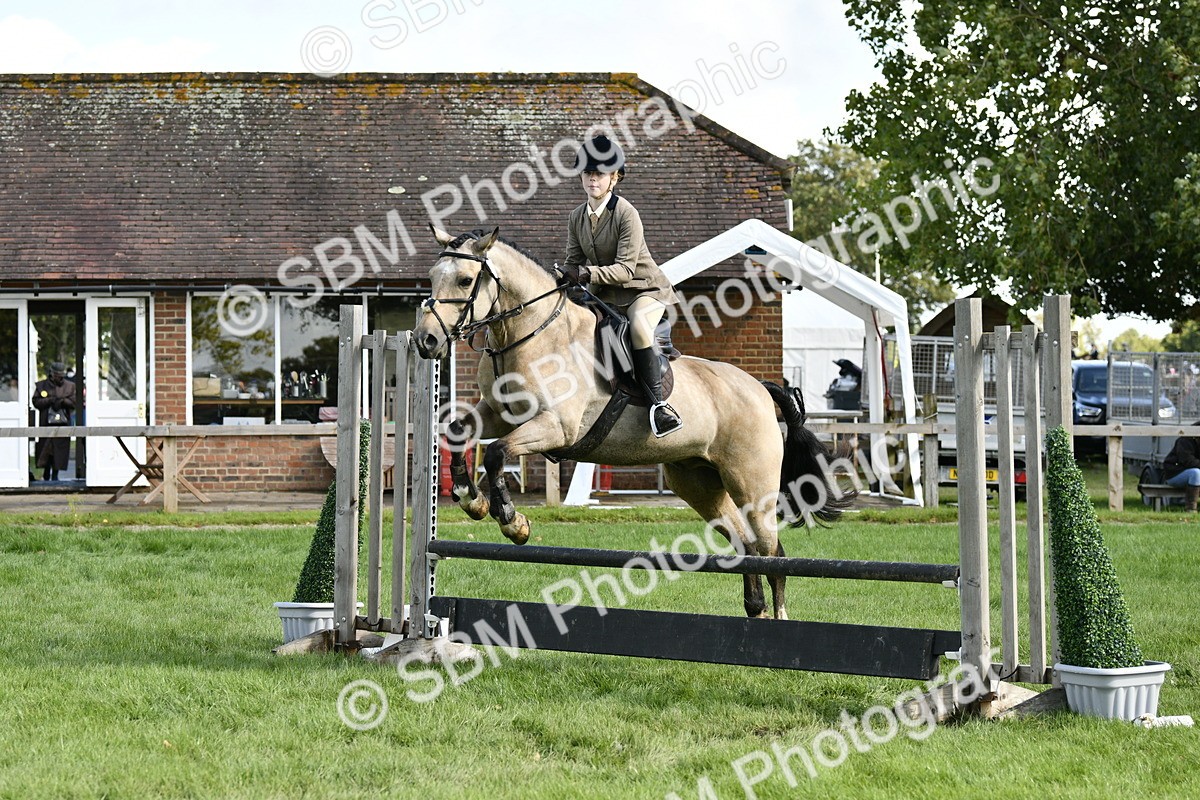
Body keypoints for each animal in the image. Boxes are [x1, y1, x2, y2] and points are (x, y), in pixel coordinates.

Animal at [414, 225, 853, 619]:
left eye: (466, 279)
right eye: (432, 277)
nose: (426, 341)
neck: (529, 334)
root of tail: (760, 389)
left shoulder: (555, 426)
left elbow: (497, 454)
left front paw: (512, 522)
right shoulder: (499, 414)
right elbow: (458, 431)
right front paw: (470, 498)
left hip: (752, 483)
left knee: (771, 551)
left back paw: (778, 619)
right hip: (698, 482)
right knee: (745, 546)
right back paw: (755, 612)